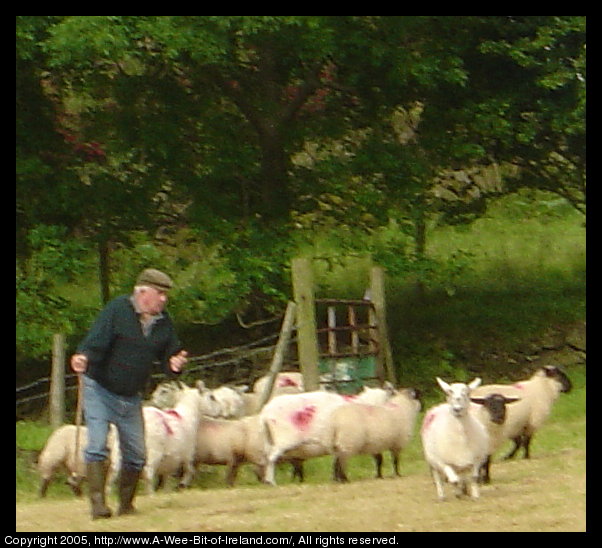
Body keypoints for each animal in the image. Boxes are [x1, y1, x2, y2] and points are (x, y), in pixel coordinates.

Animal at [258, 384, 394, 486]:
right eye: (387, 399)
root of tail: (265, 412)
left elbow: (336, 460)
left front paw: (335, 478)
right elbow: (377, 458)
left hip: (271, 439)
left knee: (268, 457)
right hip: (284, 440)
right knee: (271, 458)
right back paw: (271, 481)